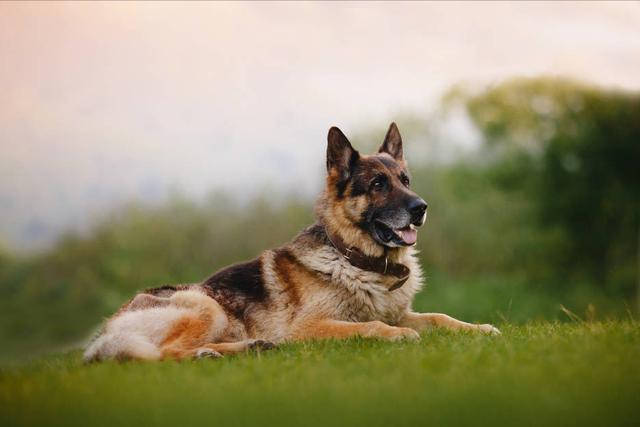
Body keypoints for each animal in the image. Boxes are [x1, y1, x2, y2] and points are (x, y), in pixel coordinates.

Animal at [82, 123, 498, 364]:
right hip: (204, 305)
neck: (356, 260)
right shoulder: (309, 329)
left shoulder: (403, 312)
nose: (421, 208)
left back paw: (239, 349)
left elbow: (440, 318)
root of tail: (107, 332)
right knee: (162, 354)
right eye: (378, 185)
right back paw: (220, 351)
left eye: (405, 180)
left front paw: (479, 328)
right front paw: (398, 336)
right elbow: (372, 326)